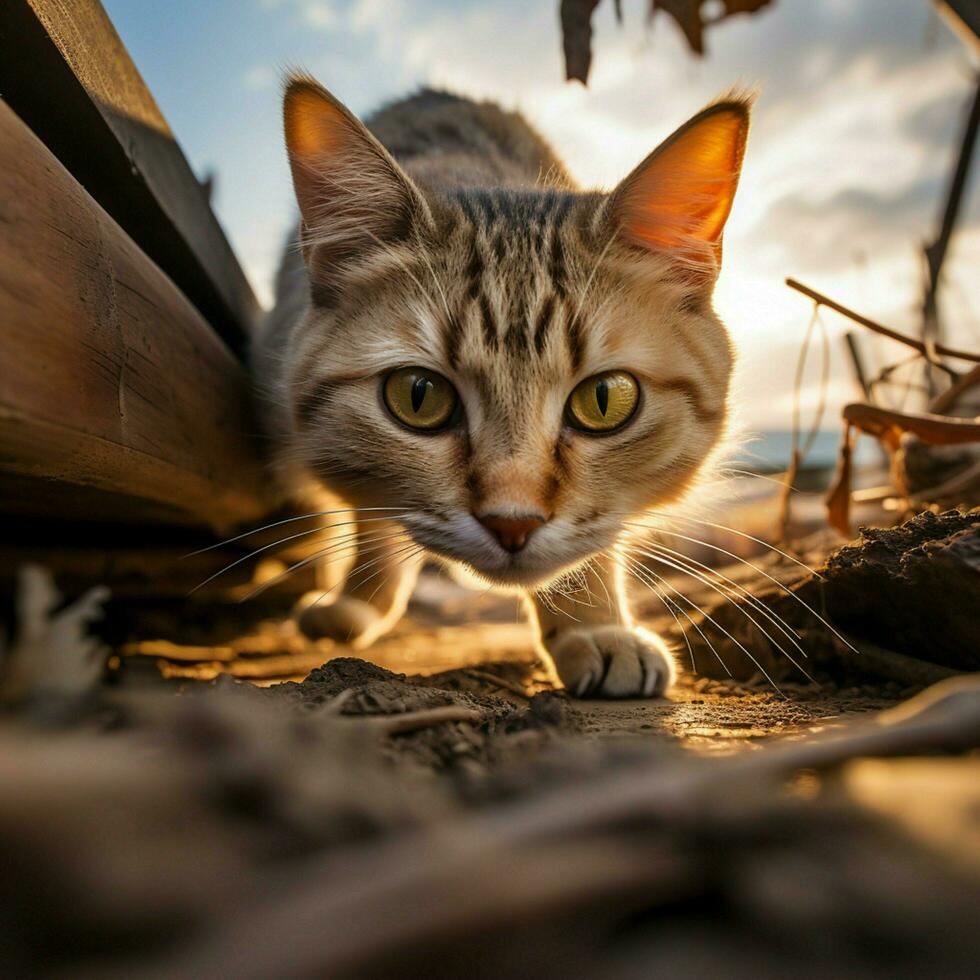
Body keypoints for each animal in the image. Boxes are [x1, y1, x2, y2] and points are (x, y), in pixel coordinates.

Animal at [255, 74, 752, 696]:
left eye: (604, 401)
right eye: (417, 396)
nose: (511, 523)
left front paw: (594, 623)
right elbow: (368, 504)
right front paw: (364, 593)